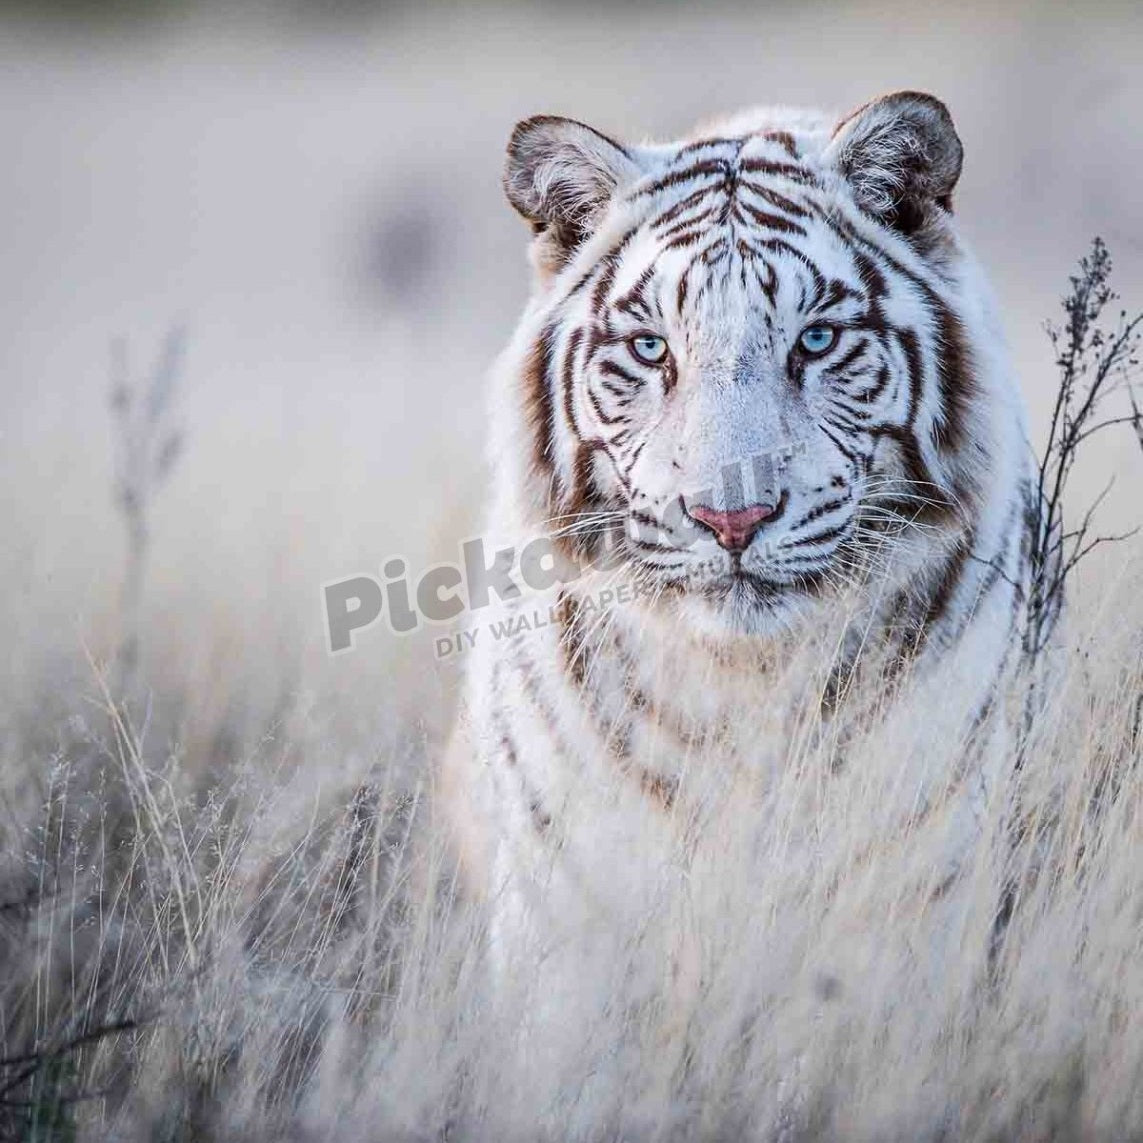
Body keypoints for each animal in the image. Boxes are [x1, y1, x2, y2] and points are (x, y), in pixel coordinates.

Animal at [442, 91, 1037, 1044]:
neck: (744, 687)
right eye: (651, 349)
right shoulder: (567, 919)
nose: (732, 518)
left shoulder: (910, 903)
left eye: (817, 340)